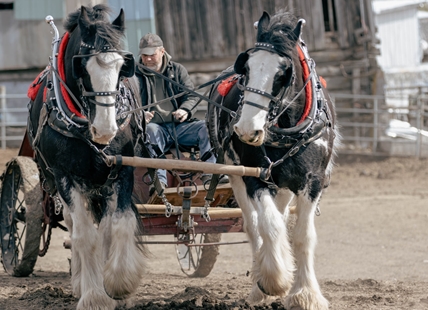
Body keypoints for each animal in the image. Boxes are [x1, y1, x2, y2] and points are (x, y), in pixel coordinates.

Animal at [28, 4, 146, 310]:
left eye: (122, 67)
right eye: (82, 67)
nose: (105, 129)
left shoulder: (123, 170)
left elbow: (118, 226)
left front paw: (118, 283)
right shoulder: (64, 176)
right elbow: (84, 235)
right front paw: (94, 295)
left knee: (103, 227)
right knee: (73, 227)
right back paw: (81, 282)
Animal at [207, 10, 338, 308]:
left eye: (283, 73)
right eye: (246, 69)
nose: (246, 129)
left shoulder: (312, 182)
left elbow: (302, 236)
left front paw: (305, 294)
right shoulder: (256, 177)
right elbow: (269, 226)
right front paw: (274, 280)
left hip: (286, 185)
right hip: (236, 174)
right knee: (254, 224)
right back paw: (260, 284)